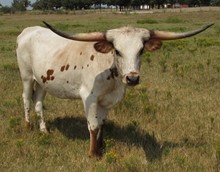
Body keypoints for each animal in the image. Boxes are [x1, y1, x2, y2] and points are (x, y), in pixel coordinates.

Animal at [16, 22, 212, 157]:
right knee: (26, 98)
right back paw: (27, 126)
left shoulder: (107, 100)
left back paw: (44, 130)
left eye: (141, 50)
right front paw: (93, 154)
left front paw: (101, 147)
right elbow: (93, 125)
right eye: (117, 51)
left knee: (38, 102)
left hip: (42, 81)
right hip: (26, 76)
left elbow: (102, 124)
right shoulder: (89, 98)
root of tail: (28, 30)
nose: (132, 78)